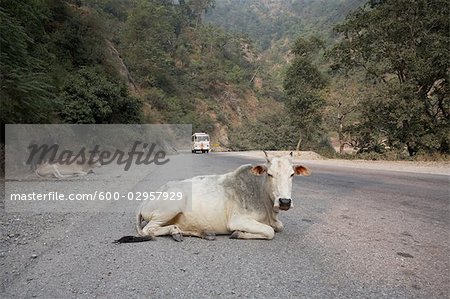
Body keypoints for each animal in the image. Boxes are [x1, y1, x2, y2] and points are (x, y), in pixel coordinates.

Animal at [116, 152, 310, 244]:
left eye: (292, 174)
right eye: (269, 174)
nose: (285, 202)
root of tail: (144, 201)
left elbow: (279, 227)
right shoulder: (237, 220)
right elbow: (270, 232)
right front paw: (238, 234)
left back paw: (194, 232)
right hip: (170, 207)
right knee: (148, 230)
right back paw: (177, 232)